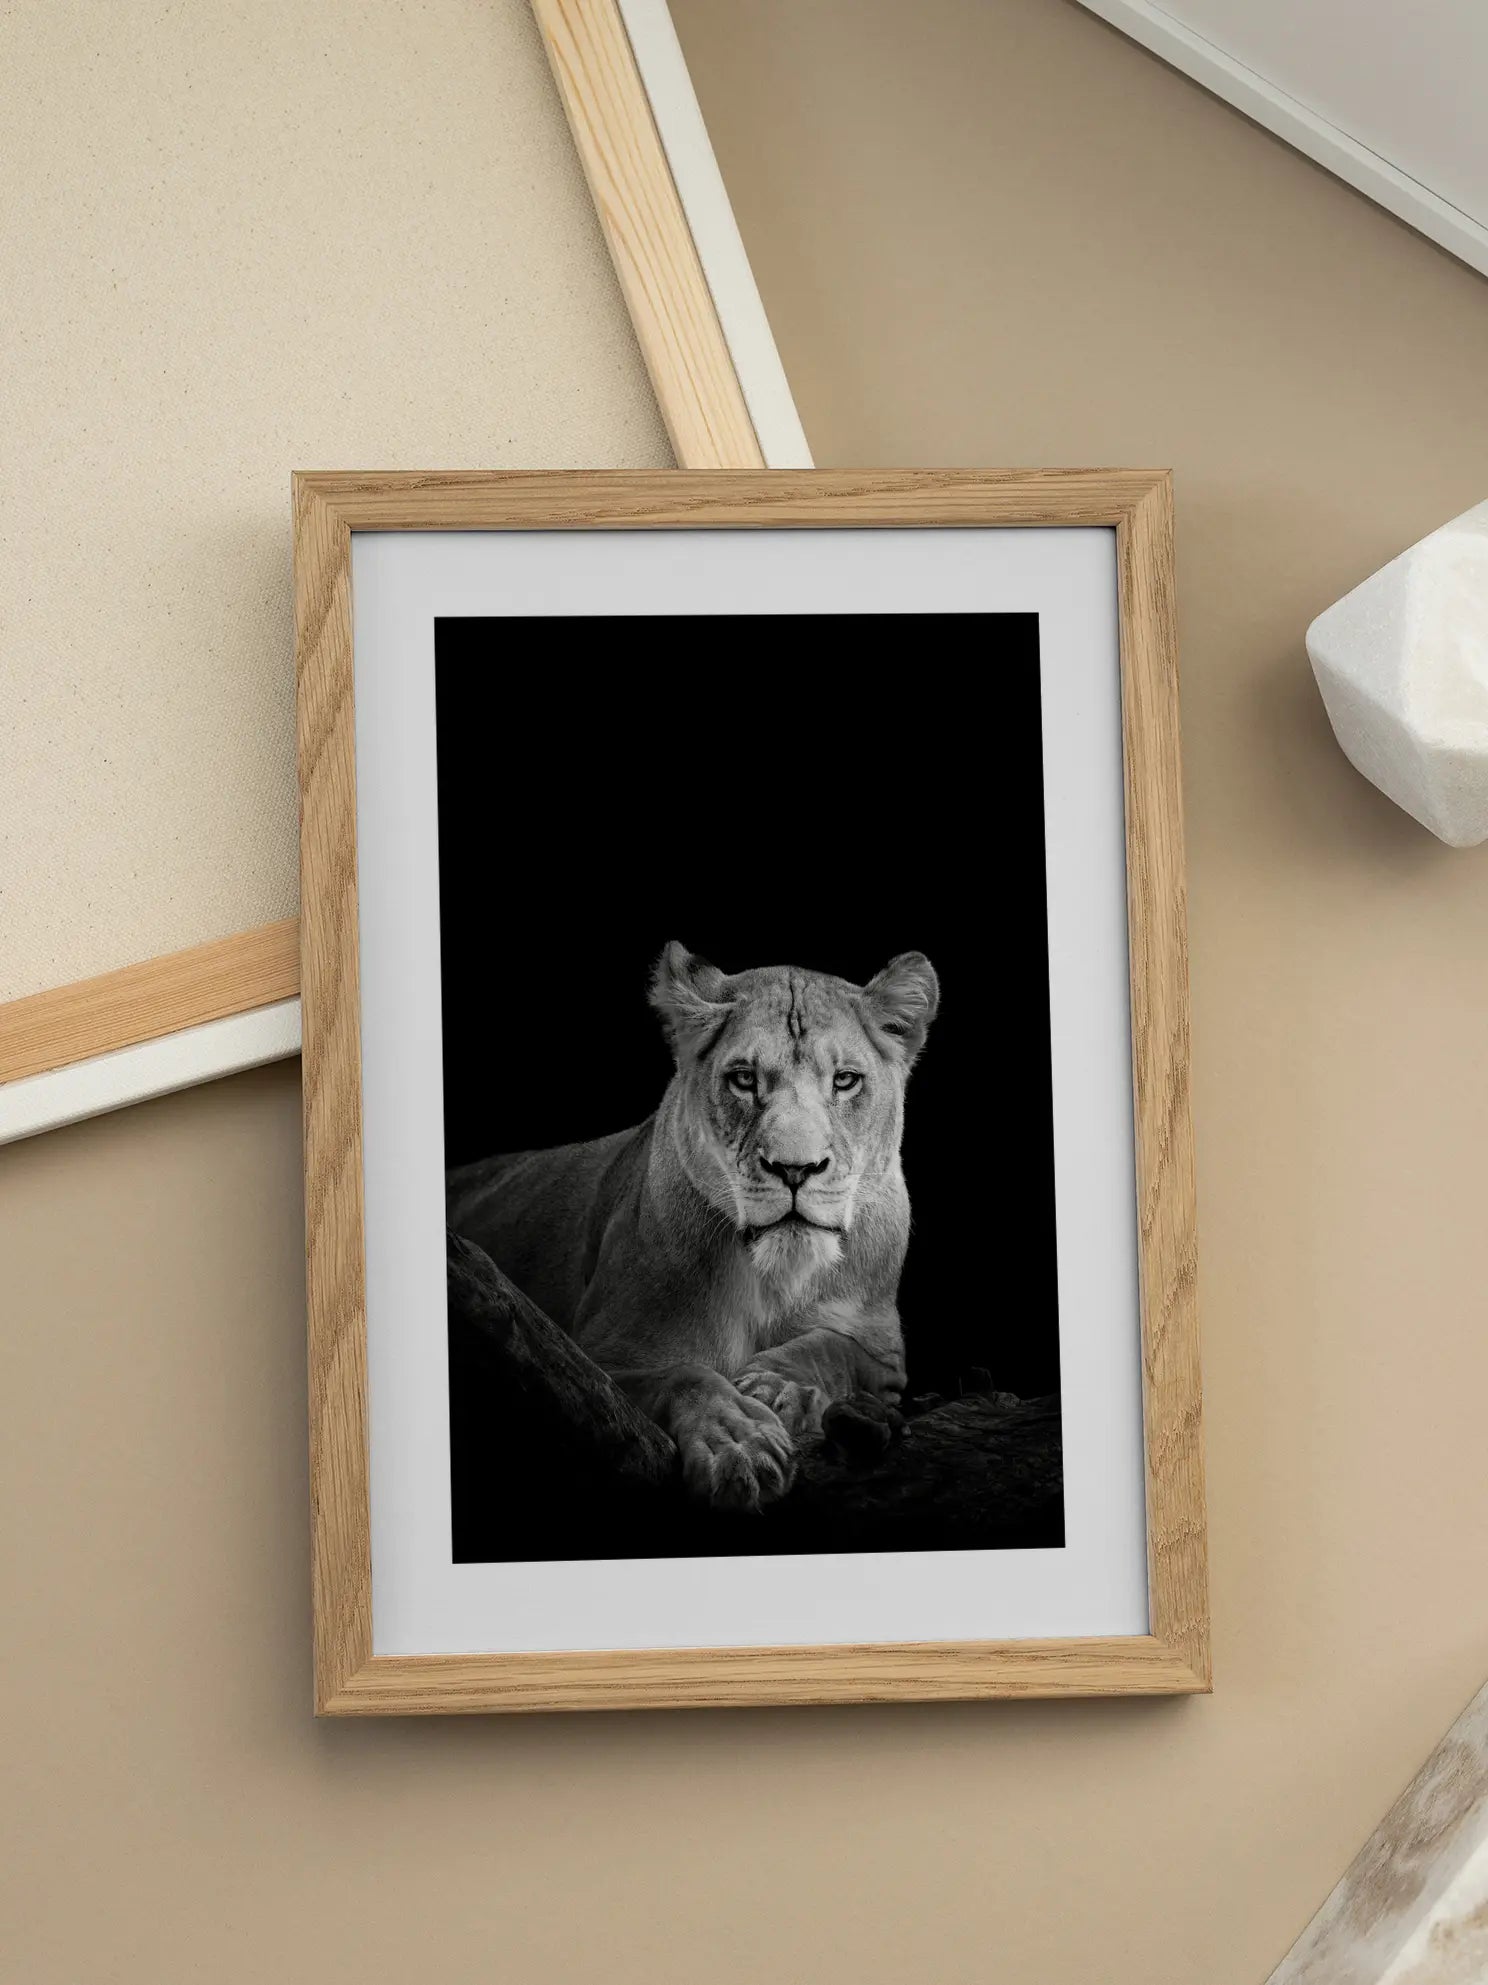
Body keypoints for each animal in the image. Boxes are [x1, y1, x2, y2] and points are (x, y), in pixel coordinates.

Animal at [446, 942, 939, 1511]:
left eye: (845, 1080)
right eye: (744, 1078)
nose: (795, 1169)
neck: (774, 1278)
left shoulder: (884, 1354)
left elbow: (833, 1347)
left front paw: (779, 1389)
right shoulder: (592, 1361)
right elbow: (686, 1374)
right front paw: (738, 1444)